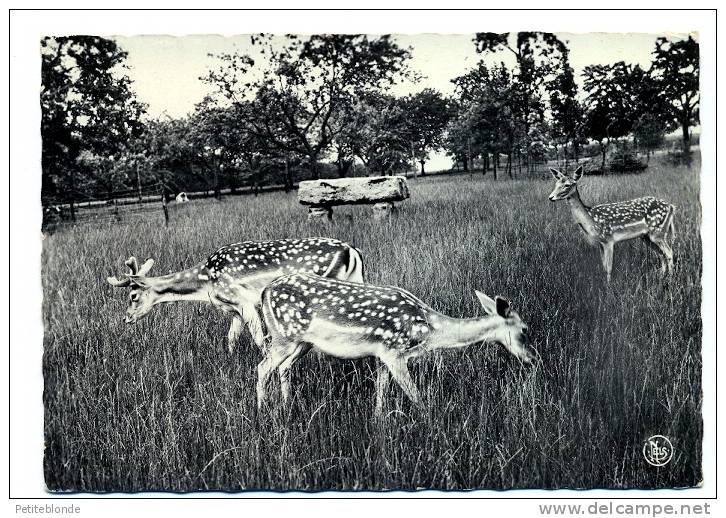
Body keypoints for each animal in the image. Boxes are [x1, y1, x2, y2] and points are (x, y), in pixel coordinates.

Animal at [105, 239, 366, 354]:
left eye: (133, 295)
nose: (126, 318)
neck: (205, 282)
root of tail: (352, 251)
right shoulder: (234, 310)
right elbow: (230, 338)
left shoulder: (245, 302)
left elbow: (260, 340)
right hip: (357, 282)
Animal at [256, 274, 536, 416]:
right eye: (525, 329)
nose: (534, 358)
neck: (429, 330)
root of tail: (264, 292)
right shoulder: (394, 351)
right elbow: (414, 395)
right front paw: (429, 422)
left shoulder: (381, 353)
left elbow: (381, 391)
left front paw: (379, 419)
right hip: (283, 336)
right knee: (262, 367)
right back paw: (263, 412)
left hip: (301, 343)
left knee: (283, 367)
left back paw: (287, 405)